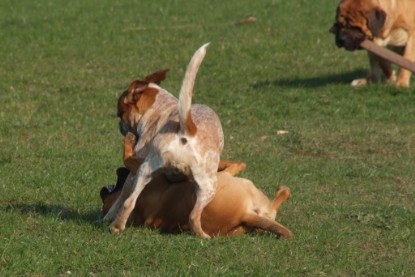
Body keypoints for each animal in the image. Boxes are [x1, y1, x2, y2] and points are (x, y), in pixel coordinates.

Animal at [99, 133, 294, 236]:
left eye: (104, 201)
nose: (102, 190)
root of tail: (244, 215)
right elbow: (127, 157)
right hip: (231, 183)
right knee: (237, 167)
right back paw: (283, 189)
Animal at [105, 43, 226, 237]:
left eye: (120, 113)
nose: (121, 127)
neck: (160, 107)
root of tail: (187, 129)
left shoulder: (134, 171)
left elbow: (121, 198)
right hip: (205, 185)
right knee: (193, 215)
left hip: (147, 171)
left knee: (129, 202)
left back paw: (116, 227)